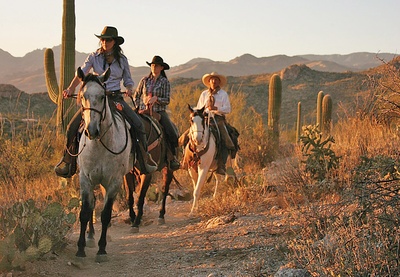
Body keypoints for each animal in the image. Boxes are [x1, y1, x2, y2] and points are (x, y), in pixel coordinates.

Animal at [74, 67, 132, 260]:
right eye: (82, 95)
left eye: (102, 96)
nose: (91, 130)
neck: (100, 144)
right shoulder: (85, 179)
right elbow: (85, 211)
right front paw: (81, 249)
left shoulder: (114, 181)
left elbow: (106, 214)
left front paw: (101, 249)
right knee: (91, 205)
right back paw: (91, 236)